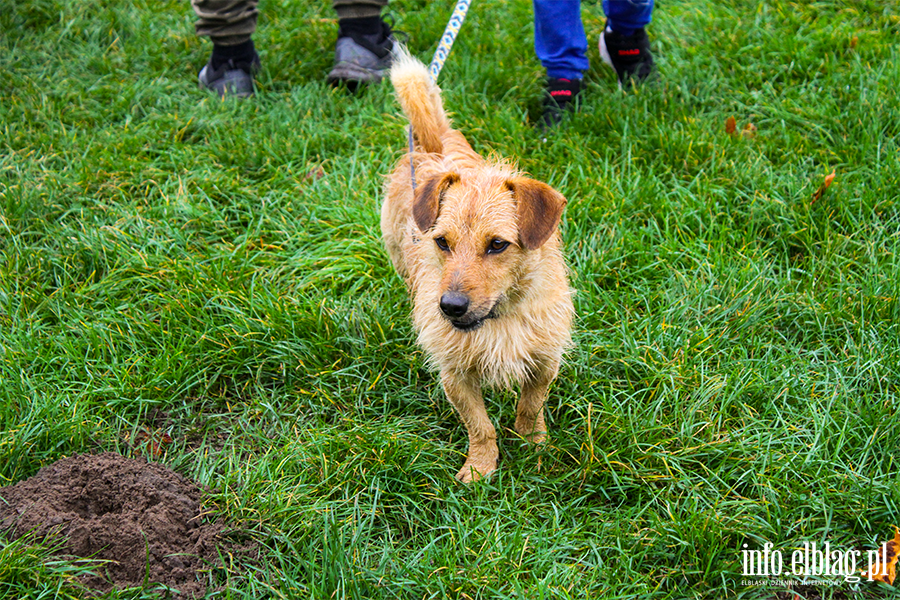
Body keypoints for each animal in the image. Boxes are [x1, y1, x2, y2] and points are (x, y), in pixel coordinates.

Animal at [382, 49, 576, 486]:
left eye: (497, 244)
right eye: (442, 243)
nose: (449, 307)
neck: (499, 318)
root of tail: (432, 145)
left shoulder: (545, 360)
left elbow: (531, 408)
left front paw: (533, 449)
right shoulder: (455, 376)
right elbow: (480, 426)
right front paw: (480, 467)